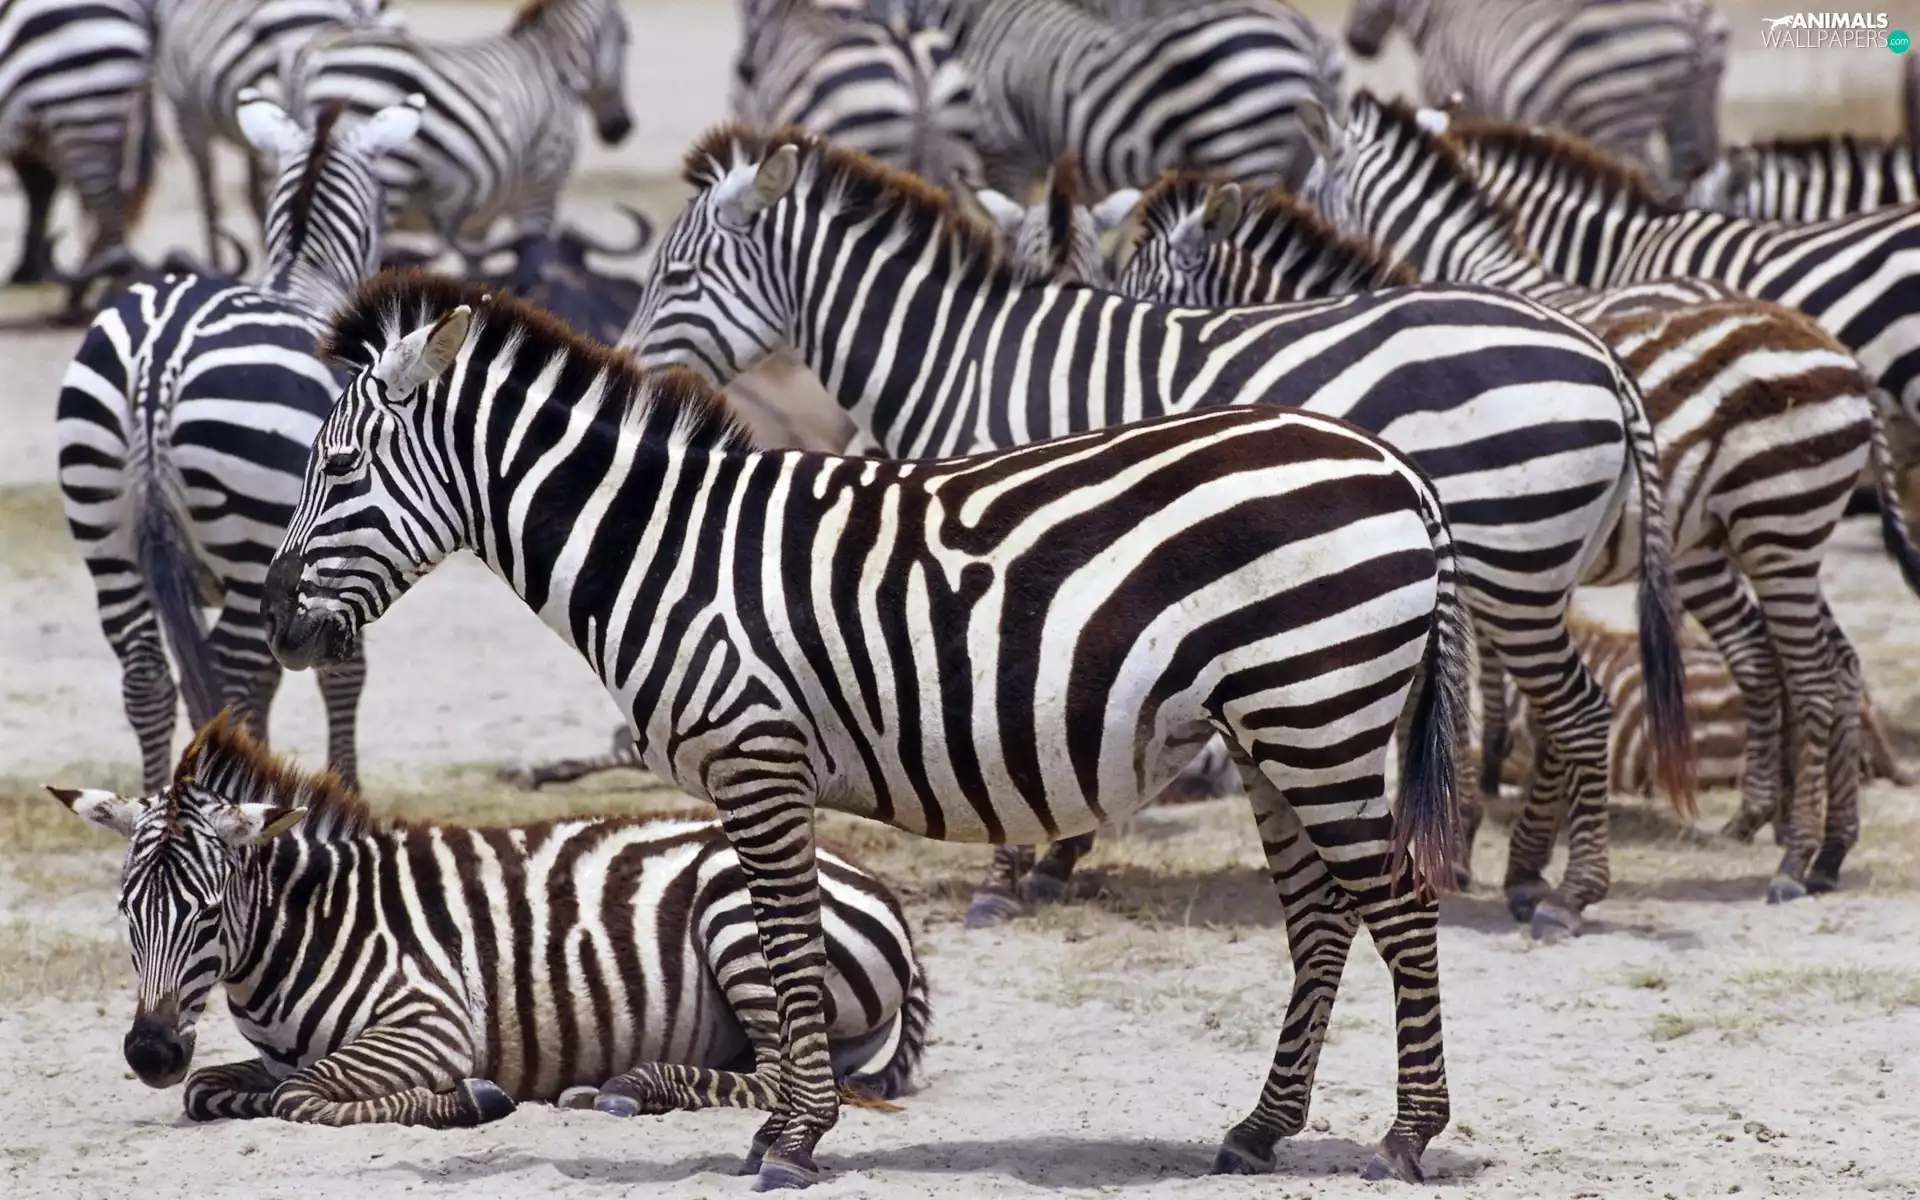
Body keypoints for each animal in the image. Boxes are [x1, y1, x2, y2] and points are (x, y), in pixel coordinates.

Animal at [53, 710, 929, 1126]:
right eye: (126, 913)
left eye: (206, 914)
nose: (150, 1053)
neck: (315, 925)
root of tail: (874, 882)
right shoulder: (263, 1060)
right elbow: (214, 1090)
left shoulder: (430, 1023)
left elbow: (300, 1096)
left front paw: (467, 1100)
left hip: (737, 924)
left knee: (786, 1075)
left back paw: (629, 1085)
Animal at [54, 89, 423, 791]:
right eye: (388, 200)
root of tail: (159, 358)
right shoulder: (336, 550)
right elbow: (341, 674)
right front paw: (342, 788)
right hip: (248, 537)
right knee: (228, 675)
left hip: (104, 529)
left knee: (147, 677)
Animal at [262, 273, 1474, 1186]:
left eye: (339, 467)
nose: (275, 619)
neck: (663, 552)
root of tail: (1390, 463)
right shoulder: (756, 770)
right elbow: (782, 945)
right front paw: (785, 1126)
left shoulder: (758, 755)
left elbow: (792, 946)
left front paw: (794, 1140)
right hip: (1279, 729)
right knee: (1320, 924)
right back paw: (1259, 1131)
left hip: (1318, 712)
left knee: (1401, 907)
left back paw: (1408, 1135)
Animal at [284, 0, 632, 288]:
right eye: (626, 38)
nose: (621, 129)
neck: (553, 65)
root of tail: (317, 56)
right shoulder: (542, 187)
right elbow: (529, 270)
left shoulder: (478, 218)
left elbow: (477, 270)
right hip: (385, 173)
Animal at [618, 125, 1695, 939]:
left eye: (676, 274)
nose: (625, 371)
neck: (962, 358)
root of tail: (1594, 351)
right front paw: (1051, 860)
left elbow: (1005, 705)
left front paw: (1011, 875)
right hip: (1517, 570)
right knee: (1559, 712)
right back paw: (1523, 877)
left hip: (1512, 562)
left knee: (1580, 711)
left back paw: (1567, 895)